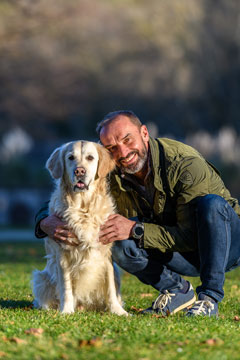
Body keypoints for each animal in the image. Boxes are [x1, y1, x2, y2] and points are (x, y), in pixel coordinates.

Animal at [32, 141, 128, 316]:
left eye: (90, 158)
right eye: (71, 157)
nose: (79, 171)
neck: (84, 207)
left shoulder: (106, 254)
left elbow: (111, 287)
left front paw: (118, 311)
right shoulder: (62, 255)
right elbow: (66, 287)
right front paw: (66, 310)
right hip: (41, 278)